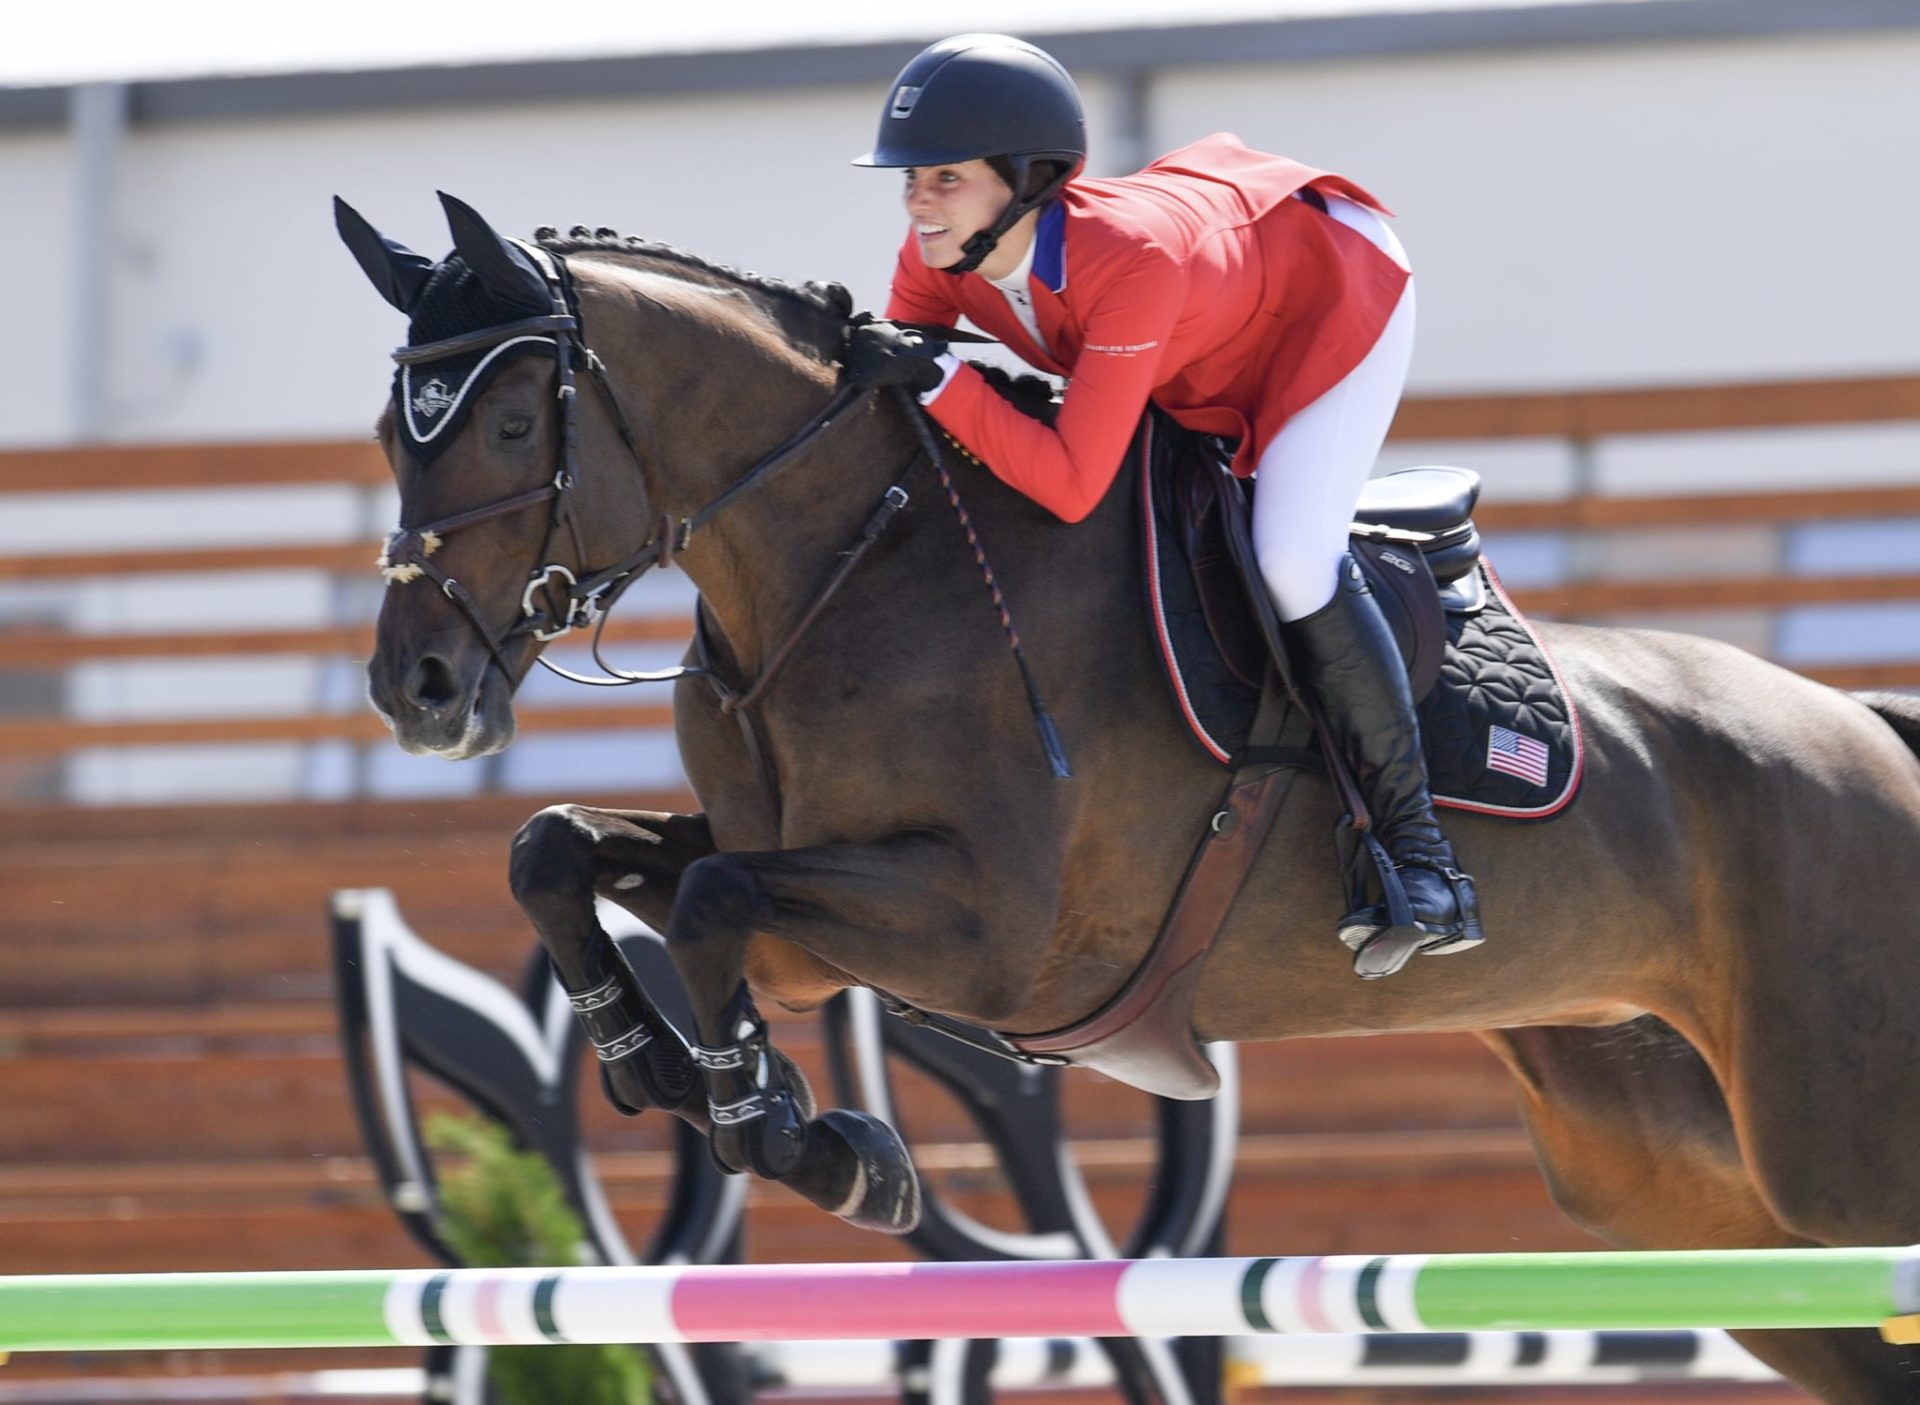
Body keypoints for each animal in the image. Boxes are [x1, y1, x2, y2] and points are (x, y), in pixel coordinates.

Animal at [345, 191, 1920, 1397]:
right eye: (389, 432)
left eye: (505, 429)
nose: (414, 688)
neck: (857, 560)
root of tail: (1867, 729)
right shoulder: (814, 901)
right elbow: (559, 852)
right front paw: (671, 1073)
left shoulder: (994, 935)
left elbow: (717, 900)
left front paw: (811, 1141)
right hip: (1684, 1183)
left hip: (1834, 1161)